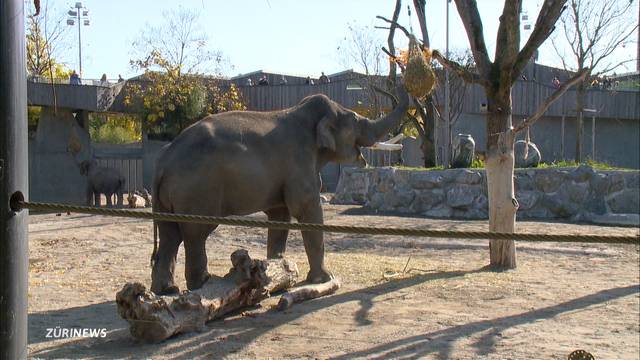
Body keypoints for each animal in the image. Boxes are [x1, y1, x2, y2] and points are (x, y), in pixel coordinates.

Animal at [150, 83, 408, 294]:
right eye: (356, 120)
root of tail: (164, 161)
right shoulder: (299, 162)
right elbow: (306, 209)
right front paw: (324, 279)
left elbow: (280, 216)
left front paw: (278, 274)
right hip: (197, 191)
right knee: (196, 233)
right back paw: (203, 283)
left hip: (166, 200)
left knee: (169, 234)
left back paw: (167, 290)